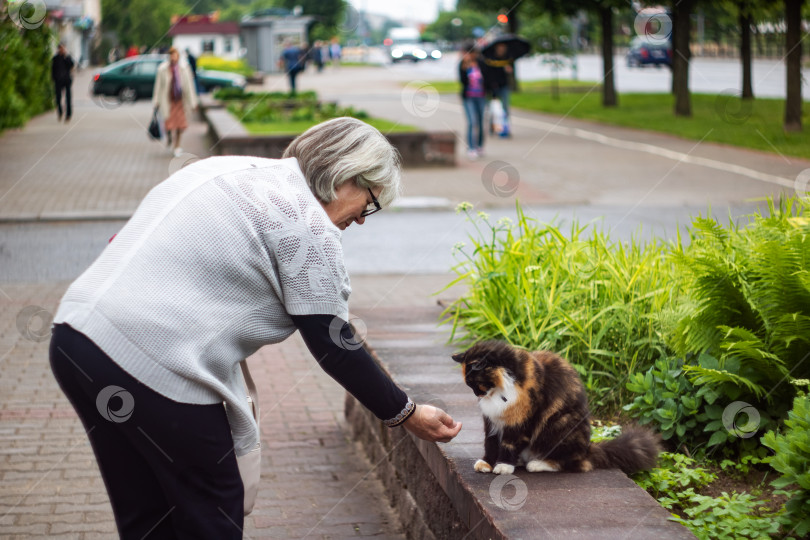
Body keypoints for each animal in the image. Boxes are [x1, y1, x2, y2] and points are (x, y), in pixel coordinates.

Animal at [452, 340, 660, 474]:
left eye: (476, 383)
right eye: (469, 385)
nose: (477, 395)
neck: (501, 388)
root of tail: (587, 450)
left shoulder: (521, 420)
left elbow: (509, 443)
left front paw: (503, 466)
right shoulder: (492, 421)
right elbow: (490, 442)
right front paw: (487, 463)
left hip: (560, 424)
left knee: (567, 463)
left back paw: (537, 464)